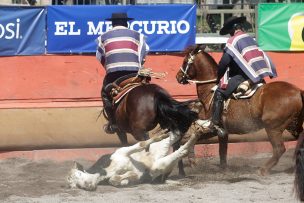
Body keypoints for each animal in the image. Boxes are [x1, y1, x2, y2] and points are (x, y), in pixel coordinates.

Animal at [176, 45, 304, 175]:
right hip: (293, 126)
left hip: (273, 128)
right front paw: (223, 169)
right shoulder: (222, 132)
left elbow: (191, 141)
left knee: (279, 149)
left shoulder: (209, 128)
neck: (210, 91)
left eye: (185, 61)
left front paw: (191, 162)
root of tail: (298, 91)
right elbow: (222, 151)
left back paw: (263, 169)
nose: (178, 76)